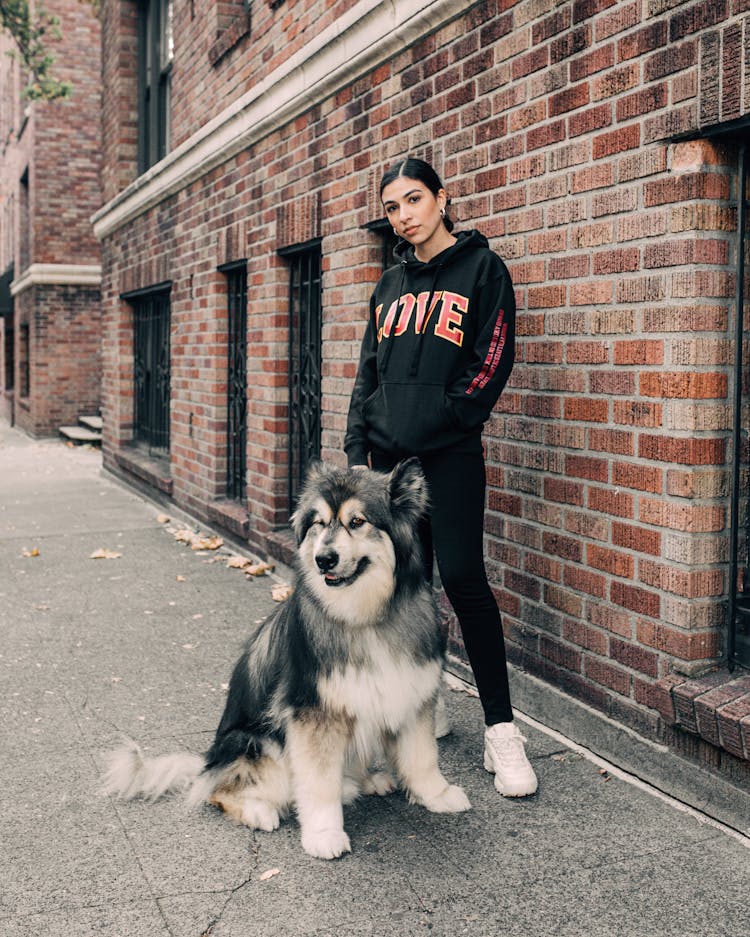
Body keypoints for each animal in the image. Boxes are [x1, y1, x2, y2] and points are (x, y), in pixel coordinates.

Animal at [101, 458, 470, 860]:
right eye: (319, 523)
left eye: (358, 521)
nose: (324, 559)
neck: (365, 617)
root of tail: (208, 761)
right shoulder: (313, 714)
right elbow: (318, 784)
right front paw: (324, 833)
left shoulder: (411, 692)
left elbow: (422, 757)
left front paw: (436, 794)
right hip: (258, 744)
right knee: (219, 791)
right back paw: (259, 810)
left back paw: (364, 780)